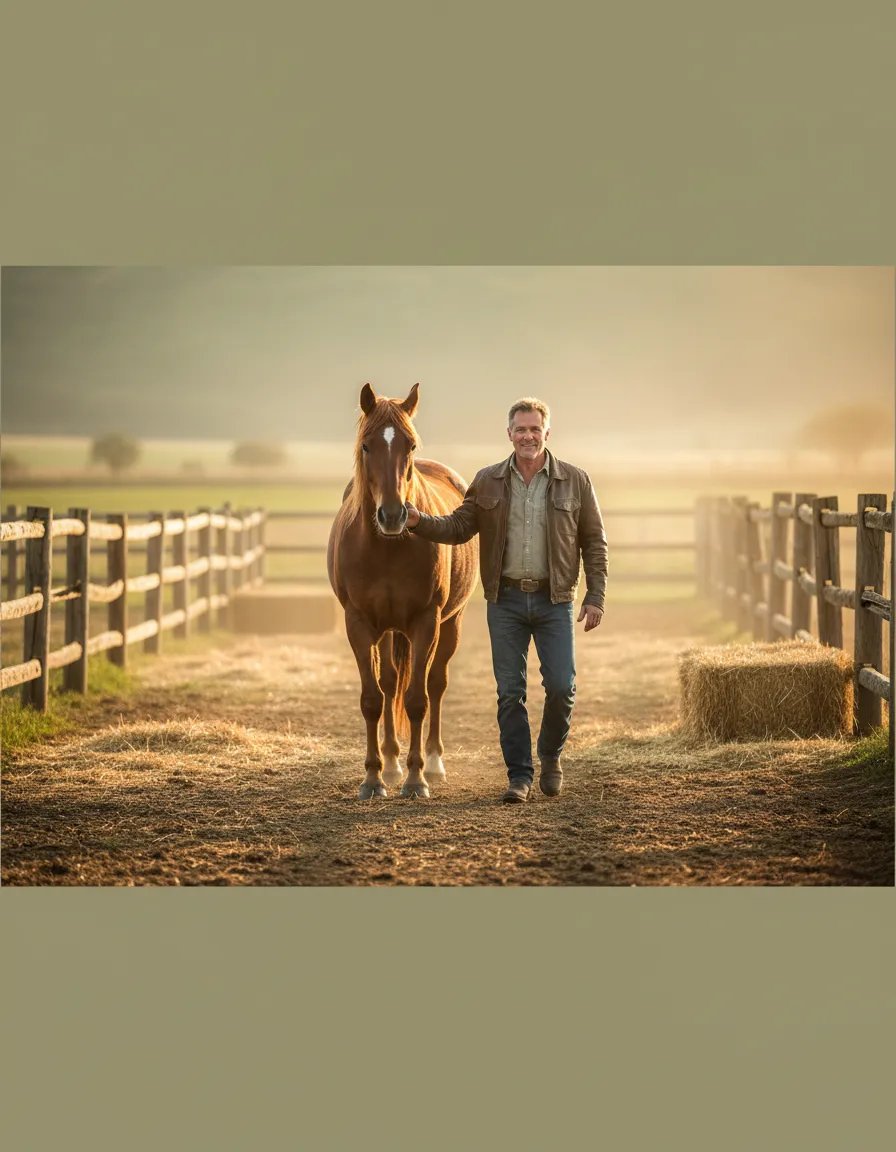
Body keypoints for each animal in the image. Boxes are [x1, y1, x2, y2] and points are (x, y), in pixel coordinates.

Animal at [327, 382, 479, 799]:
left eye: (410, 445)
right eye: (366, 446)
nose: (394, 515)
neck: (387, 547)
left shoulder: (427, 622)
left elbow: (417, 699)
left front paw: (416, 778)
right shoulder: (358, 623)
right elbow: (373, 699)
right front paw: (374, 777)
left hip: (451, 623)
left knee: (436, 683)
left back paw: (434, 762)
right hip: (387, 631)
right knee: (390, 682)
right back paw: (392, 762)